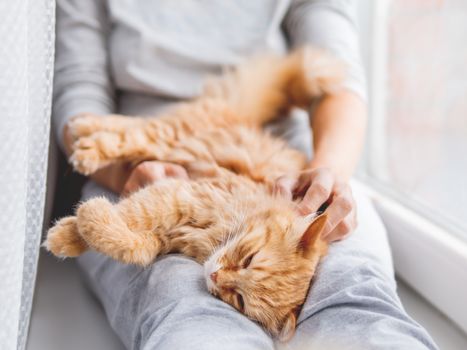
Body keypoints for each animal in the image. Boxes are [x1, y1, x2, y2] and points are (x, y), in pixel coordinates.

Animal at [45, 47, 346, 342]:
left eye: (239, 300)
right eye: (249, 259)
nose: (214, 275)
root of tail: (241, 117)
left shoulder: (163, 234)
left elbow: (129, 245)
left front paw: (79, 227)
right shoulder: (179, 196)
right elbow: (128, 214)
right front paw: (68, 232)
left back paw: (84, 130)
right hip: (170, 137)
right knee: (131, 130)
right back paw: (84, 138)